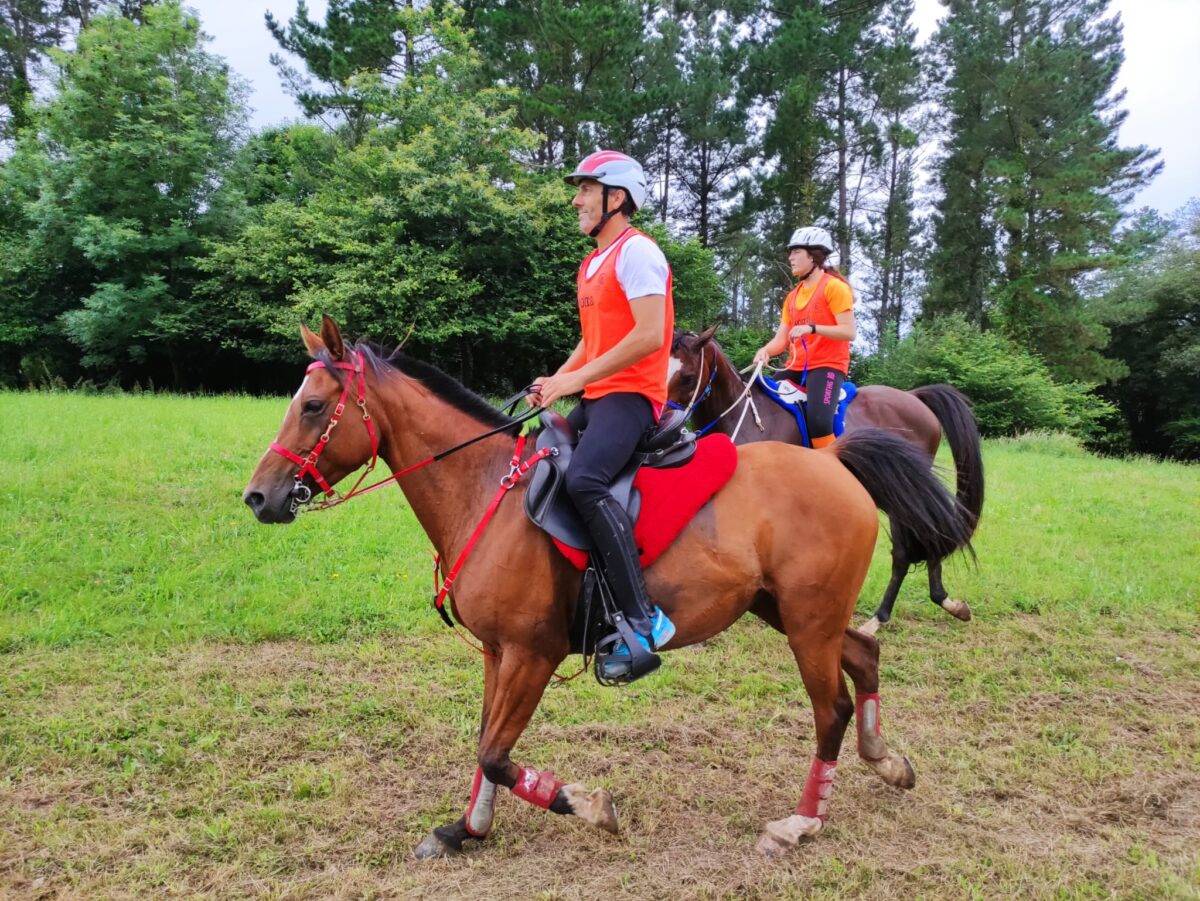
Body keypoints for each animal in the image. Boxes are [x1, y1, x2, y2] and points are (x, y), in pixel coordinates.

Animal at [667, 328, 984, 633]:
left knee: (910, 547)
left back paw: (885, 617)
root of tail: (915, 397)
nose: (664, 426)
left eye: (688, 377)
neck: (746, 418)